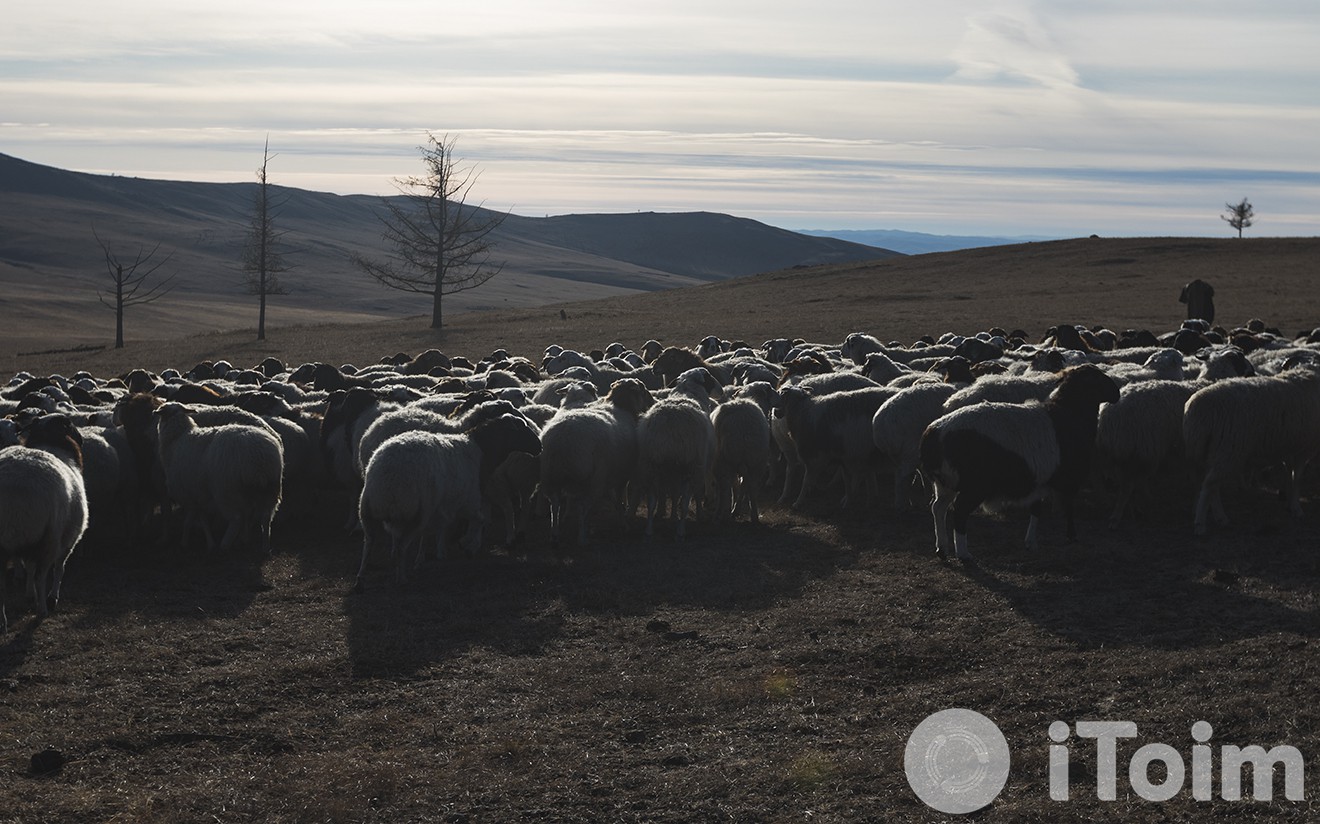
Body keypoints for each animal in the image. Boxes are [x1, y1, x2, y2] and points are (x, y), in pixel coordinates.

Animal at [0, 414, 88, 628]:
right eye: (70, 424)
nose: (82, 439)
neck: (51, 442)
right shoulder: (68, 539)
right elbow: (58, 569)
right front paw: (52, 597)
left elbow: (30, 568)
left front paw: (29, 593)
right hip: (50, 537)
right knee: (43, 575)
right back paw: (42, 609)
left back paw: (3, 622)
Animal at [154, 401, 283, 554]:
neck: (176, 439)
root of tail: (259, 458)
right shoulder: (198, 495)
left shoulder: (192, 494)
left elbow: (193, 521)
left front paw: (188, 542)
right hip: (269, 489)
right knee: (265, 518)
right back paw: (264, 547)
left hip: (226, 492)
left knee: (236, 519)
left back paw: (224, 545)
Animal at [356, 412, 541, 586]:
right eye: (522, 428)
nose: (539, 445)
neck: (481, 451)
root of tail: (388, 478)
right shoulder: (467, 500)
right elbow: (479, 520)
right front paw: (469, 547)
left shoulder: (440, 507)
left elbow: (432, 532)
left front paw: (423, 558)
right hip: (416, 513)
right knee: (401, 546)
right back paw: (401, 578)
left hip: (368, 510)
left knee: (368, 544)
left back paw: (361, 580)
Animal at [1182, 364, 1320, 533]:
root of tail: (1196, 412)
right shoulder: (1303, 448)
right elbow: (1297, 479)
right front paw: (1296, 508)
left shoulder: (1289, 447)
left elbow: (1289, 475)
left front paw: (1289, 503)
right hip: (1229, 450)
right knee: (1209, 485)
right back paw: (1201, 524)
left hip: (1213, 452)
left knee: (1212, 486)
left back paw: (1220, 518)